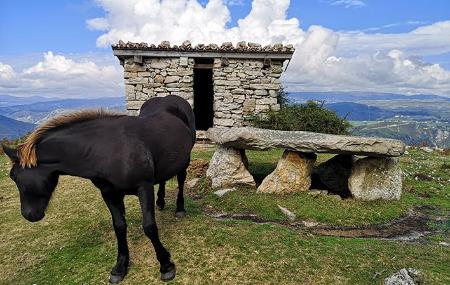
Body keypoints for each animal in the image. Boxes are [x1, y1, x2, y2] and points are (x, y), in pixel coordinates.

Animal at [2, 95, 195, 282]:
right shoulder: (109, 193)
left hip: (185, 160)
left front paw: (166, 265)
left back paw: (179, 208)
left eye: (14, 176)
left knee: (180, 180)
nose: (29, 215)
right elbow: (119, 227)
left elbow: (149, 227)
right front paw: (120, 267)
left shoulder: (144, 187)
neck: (105, 151)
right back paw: (160, 201)